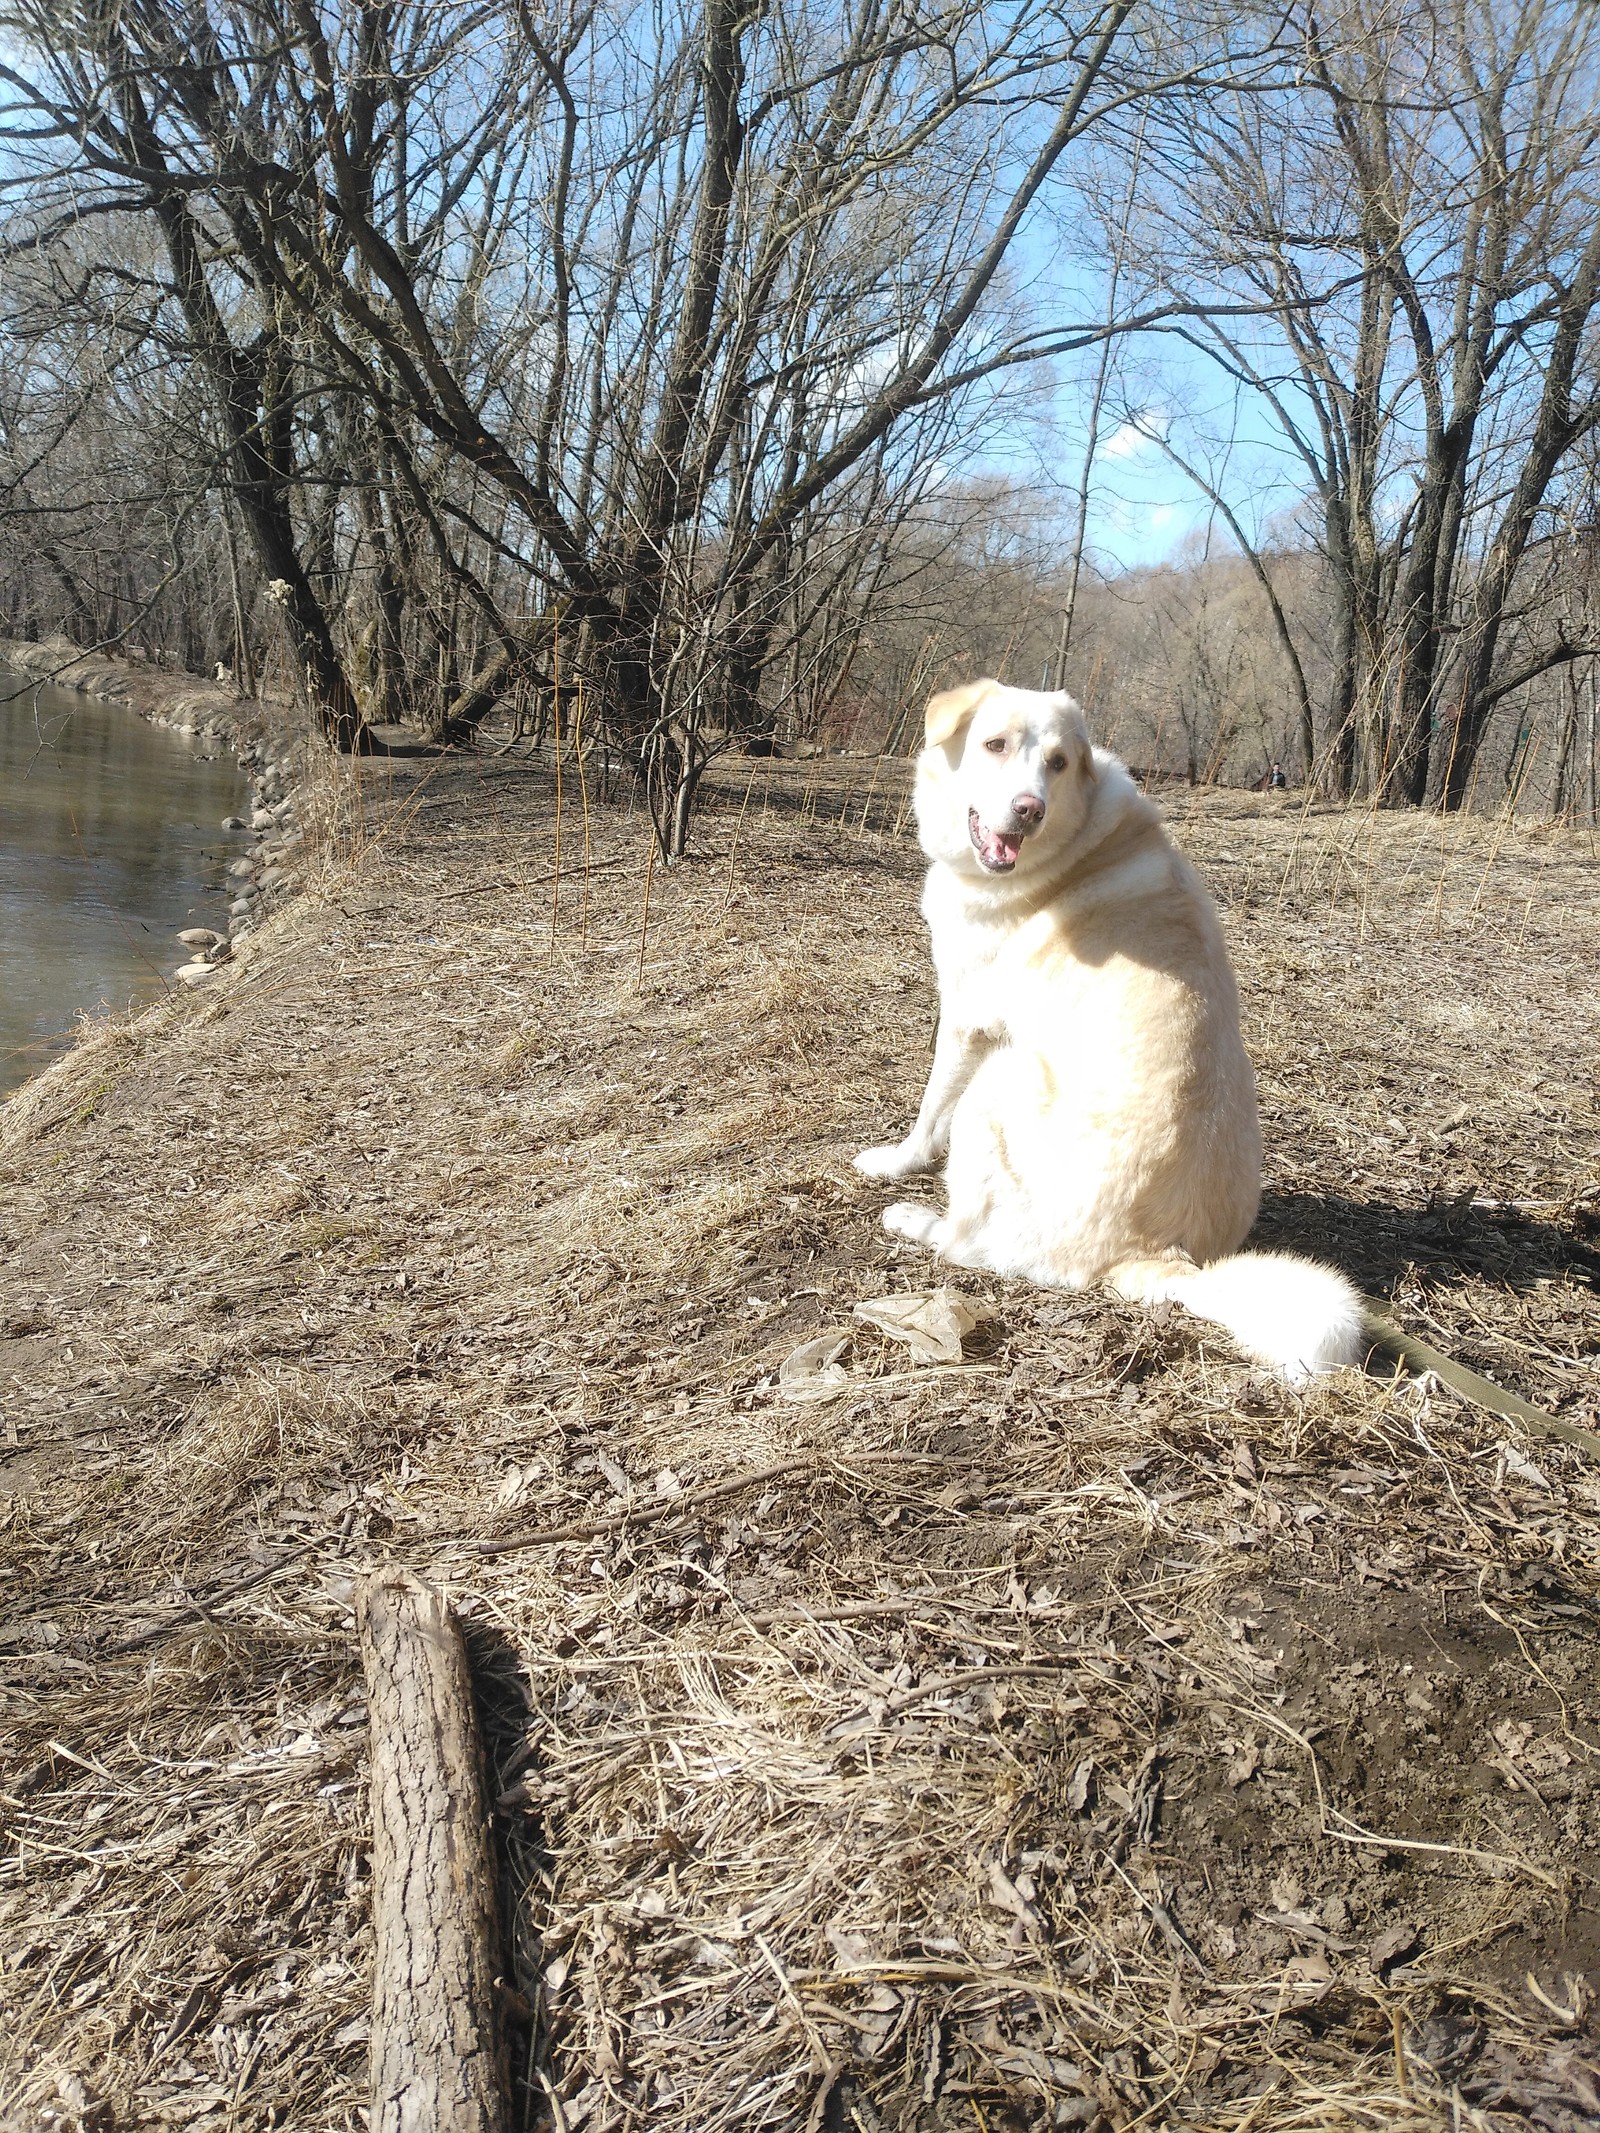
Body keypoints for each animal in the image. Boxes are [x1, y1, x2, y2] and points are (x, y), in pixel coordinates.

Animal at [857, 678, 1373, 1382]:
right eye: (995, 745)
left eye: (1057, 763)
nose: (1028, 811)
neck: (1073, 841)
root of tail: (1154, 1257)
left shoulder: (966, 1019)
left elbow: (930, 1110)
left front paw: (896, 1163)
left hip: (999, 1081)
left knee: (967, 1243)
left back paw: (914, 1220)